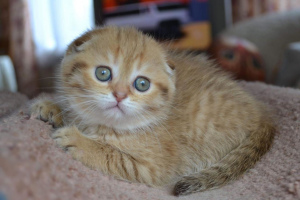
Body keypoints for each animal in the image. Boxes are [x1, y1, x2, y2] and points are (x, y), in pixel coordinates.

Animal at [30, 26, 274, 195]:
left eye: (142, 84)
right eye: (103, 73)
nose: (119, 95)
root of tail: (262, 114)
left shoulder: (151, 168)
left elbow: (112, 156)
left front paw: (79, 141)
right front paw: (52, 108)